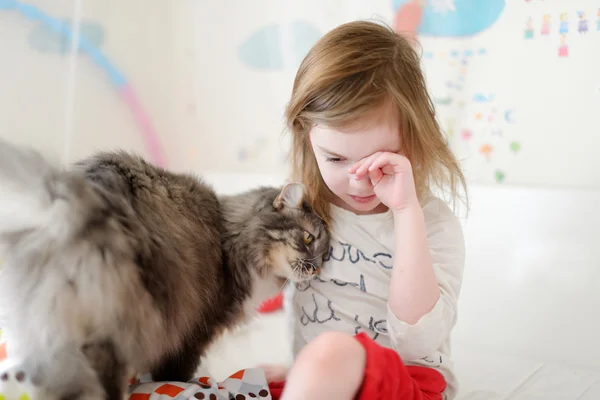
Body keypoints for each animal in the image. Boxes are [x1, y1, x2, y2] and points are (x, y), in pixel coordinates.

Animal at [0, 139, 330, 398]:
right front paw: (187, 383)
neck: (232, 234)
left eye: (325, 254)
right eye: (308, 238)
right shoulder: (196, 328)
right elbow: (175, 372)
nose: (315, 269)